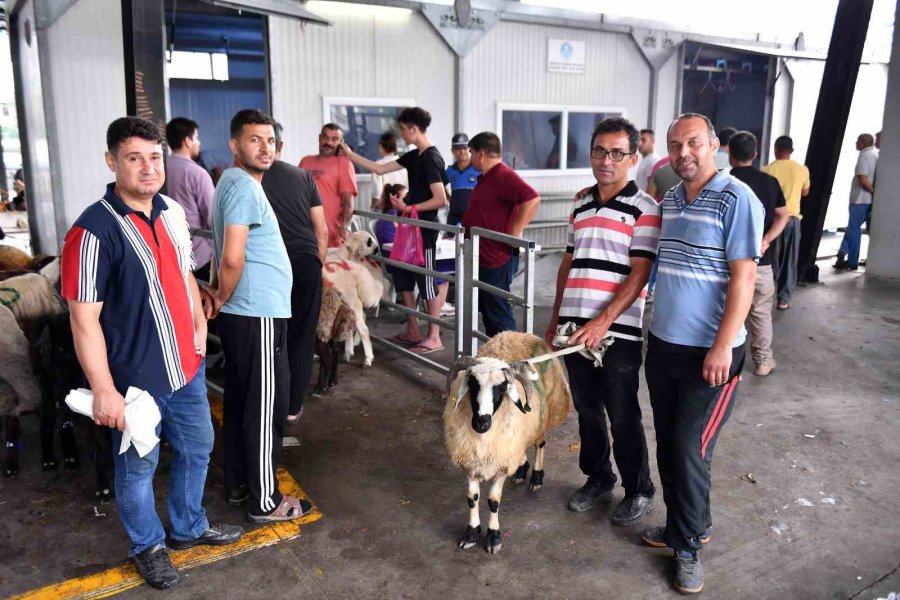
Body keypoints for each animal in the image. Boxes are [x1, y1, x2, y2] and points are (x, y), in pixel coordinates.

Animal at [442, 332, 568, 552]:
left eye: (501, 389)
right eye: (473, 384)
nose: (481, 423)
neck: (483, 439)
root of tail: (521, 334)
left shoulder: (501, 463)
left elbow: (493, 501)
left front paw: (493, 537)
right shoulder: (472, 461)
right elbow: (472, 499)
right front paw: (471, 533)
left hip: (540, 418)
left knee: (540, 444)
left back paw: (536, 478)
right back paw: (520, 471)